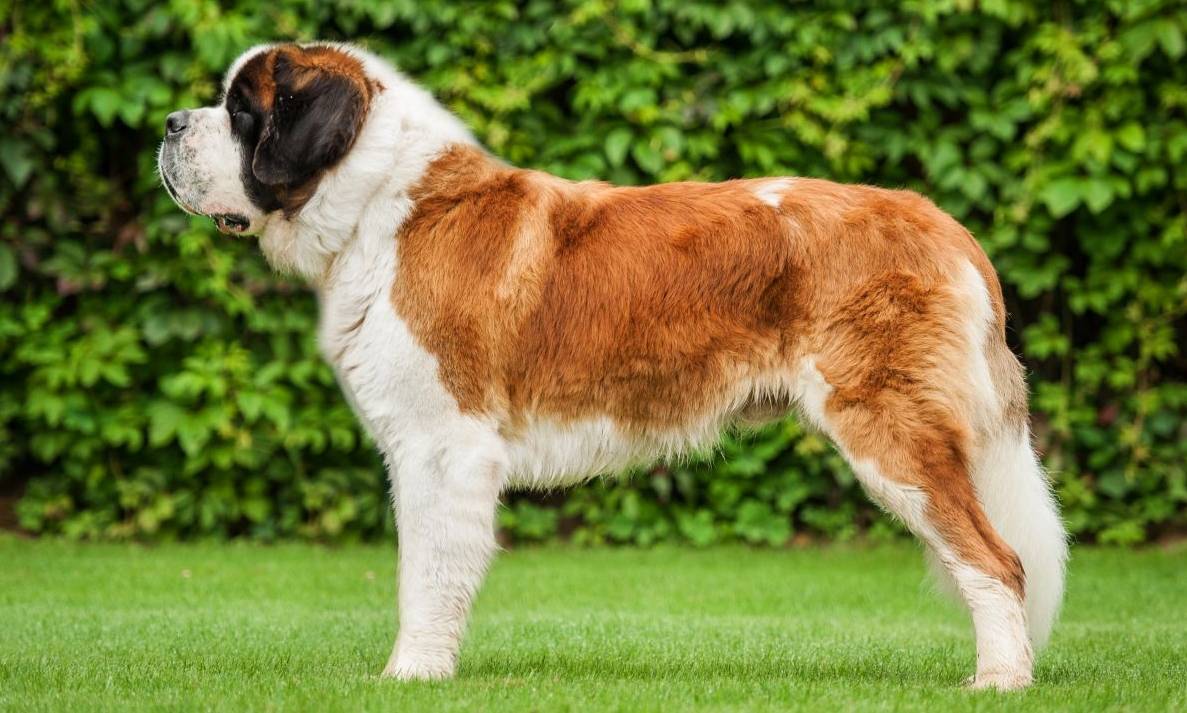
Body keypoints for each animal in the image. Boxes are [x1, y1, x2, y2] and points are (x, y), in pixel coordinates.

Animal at [158, 42, 1068, 690]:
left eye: (242, 111)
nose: (169, 123)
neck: (378, 202)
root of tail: (936, 219)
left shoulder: (440, 446)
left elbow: (427, 571)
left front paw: (411, 673)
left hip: (890, 428)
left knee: (996, 560)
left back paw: (998, 680)